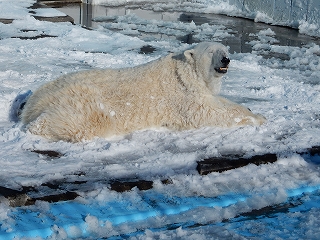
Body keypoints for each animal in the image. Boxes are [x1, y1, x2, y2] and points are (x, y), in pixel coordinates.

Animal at [21, 42, 264, 142]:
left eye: (225, 49)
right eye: (212, 51)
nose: (226, 59)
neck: (186, 72)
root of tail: (37, 100)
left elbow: (215, 102)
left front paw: (251, 109)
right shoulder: (183, 94)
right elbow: (206, 112)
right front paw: (258, 118)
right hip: (84, 101)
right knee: (86, 120)